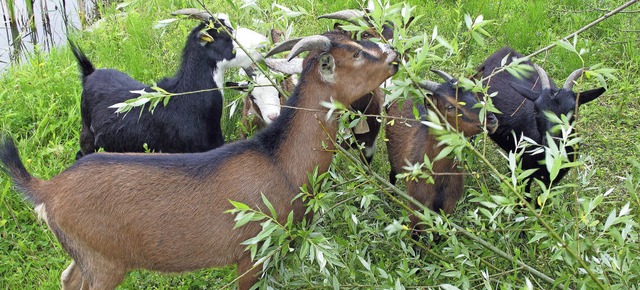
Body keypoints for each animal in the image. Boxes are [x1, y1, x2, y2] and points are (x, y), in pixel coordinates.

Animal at [1, 30, 400, 288]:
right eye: (357, 54)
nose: (394, 56)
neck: (279, 163)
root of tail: (46, 191)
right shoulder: (251, 255)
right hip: (104, 263)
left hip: (86, 258)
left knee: (67, 277)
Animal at [384, 71, 500, 232]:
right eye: (450, 107)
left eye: (474, 95)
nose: (491, 120)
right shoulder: (416, 207)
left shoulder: (447, 208)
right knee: (392, 175)